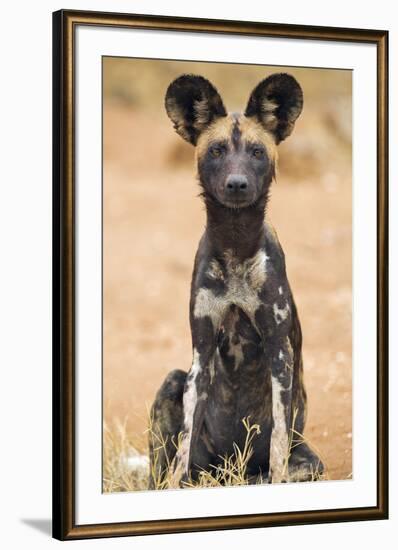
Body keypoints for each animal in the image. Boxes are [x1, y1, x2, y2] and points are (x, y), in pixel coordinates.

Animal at [148, 74, 324, 492]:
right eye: (216, 150)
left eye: (257, 152)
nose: (237, 183)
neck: (235, 245)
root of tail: (229, 471)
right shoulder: (200, 355)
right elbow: (184, 446)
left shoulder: (280, 353)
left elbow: (278, 442)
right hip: (175, 383)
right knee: (167, 469)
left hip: (309, 462)